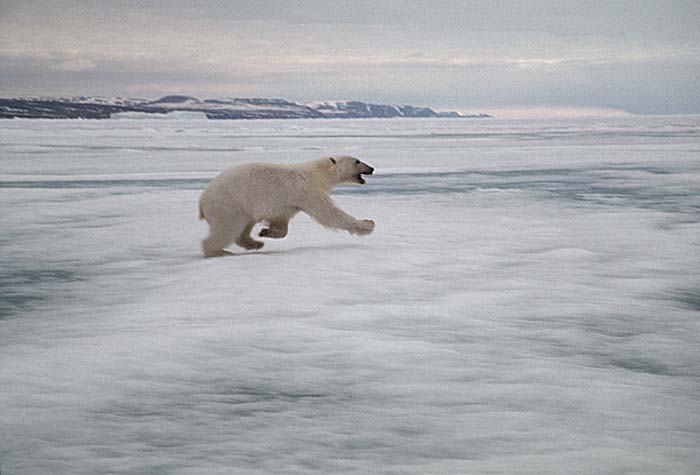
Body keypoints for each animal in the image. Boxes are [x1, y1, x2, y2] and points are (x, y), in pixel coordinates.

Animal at [200, 157, 374, 258]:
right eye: (357, 161)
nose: (371, 168)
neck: (318, 173)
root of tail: (202, 201)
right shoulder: (308, 191)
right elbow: (328, 214)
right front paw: (368, 224)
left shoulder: (287, 203)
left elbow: (282, 223)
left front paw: (266, 231)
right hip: (229, 204)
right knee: (226, 229)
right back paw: (219, 251)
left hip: (242, 206)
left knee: (243, 226)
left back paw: (255, 243)